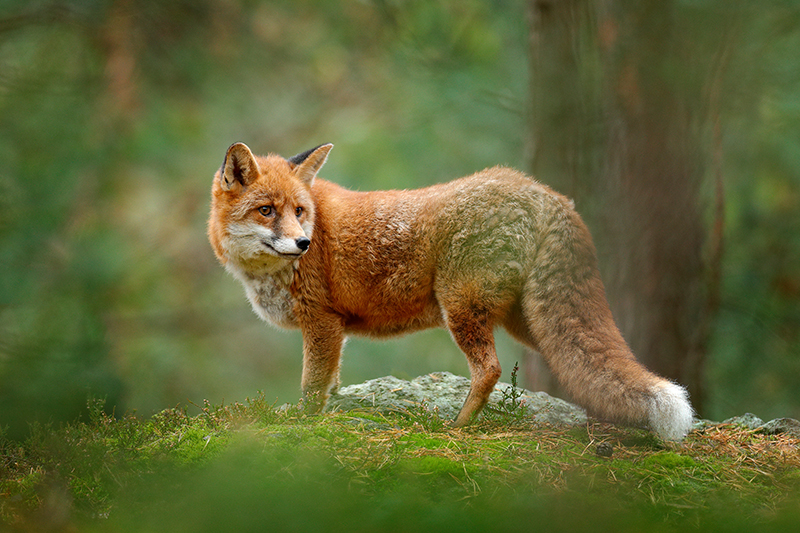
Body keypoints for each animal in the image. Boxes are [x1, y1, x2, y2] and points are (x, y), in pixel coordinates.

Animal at [207, 142, 695, 441]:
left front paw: (304, 427)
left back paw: (460, 427)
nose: (303, 243)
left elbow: (312, 389)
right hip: (529, 322)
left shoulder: (322, 323)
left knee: (490, 370)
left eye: (299, 211)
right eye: (267, 211)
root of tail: (544, 193)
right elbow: (331, 385)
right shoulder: (334, 332)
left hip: (461, 308)